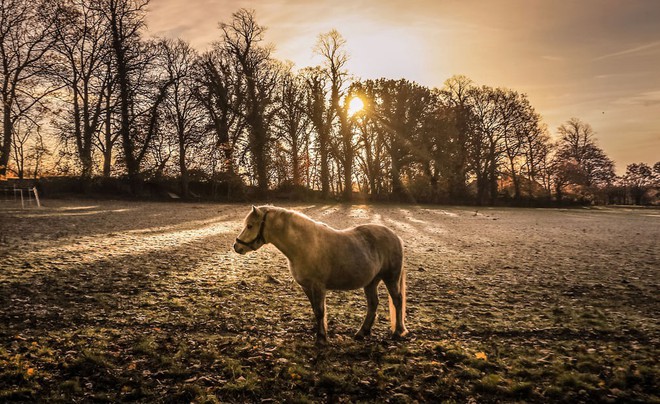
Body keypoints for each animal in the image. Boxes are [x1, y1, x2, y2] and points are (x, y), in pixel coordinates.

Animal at [232, 207, 408, 346]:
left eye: (250, 225)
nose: (236, 246)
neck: (305, 244)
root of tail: (395, 236)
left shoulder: (318, 286)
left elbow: (320, 311)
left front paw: (321, 338)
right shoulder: (307, 287)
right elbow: (315, 310)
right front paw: (319, 333)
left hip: (390, 278)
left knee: (397, 300)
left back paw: (398, 332)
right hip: (371, 281)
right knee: (373, 304)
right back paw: (362, 333)